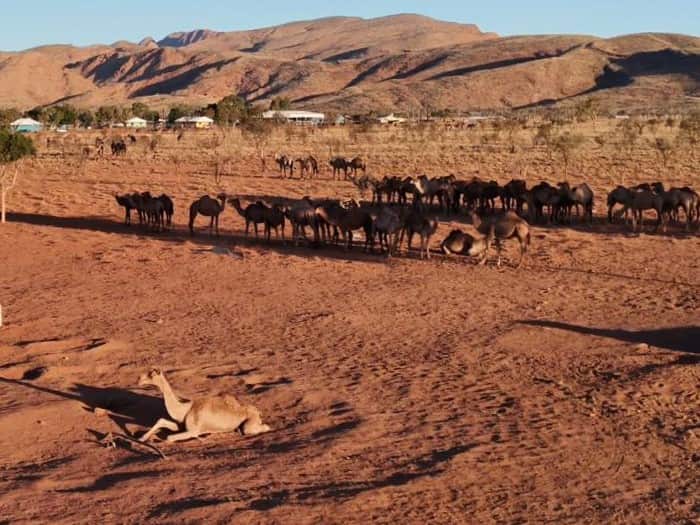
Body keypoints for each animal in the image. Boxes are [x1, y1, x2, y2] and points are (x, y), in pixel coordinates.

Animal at [137, 368, 271, 443]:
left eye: (151, 374)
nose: (139, 379)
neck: (184, 409)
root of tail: (257, 411)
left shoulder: (193, 430)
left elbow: (169, 438)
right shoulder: (181, 426)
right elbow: (162, 420)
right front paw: (141, 438)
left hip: (250, 423)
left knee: (260, 428)